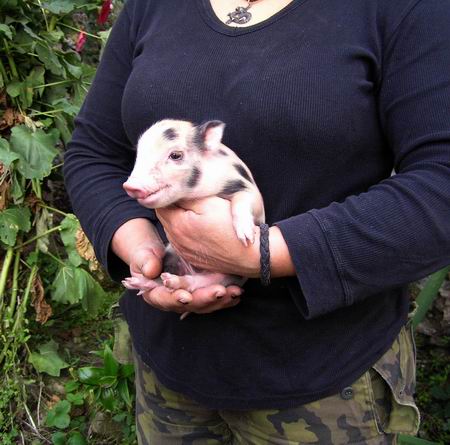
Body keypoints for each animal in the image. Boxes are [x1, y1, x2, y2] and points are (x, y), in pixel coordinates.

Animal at [121, 119, 265, 295]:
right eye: (139, 156)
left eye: (175, 155)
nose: (130, 186)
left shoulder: (249, 190)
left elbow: (243, 201)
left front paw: (246, 239)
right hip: (170, 255)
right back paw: (135, 283)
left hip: (225, 276)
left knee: (198, 283)